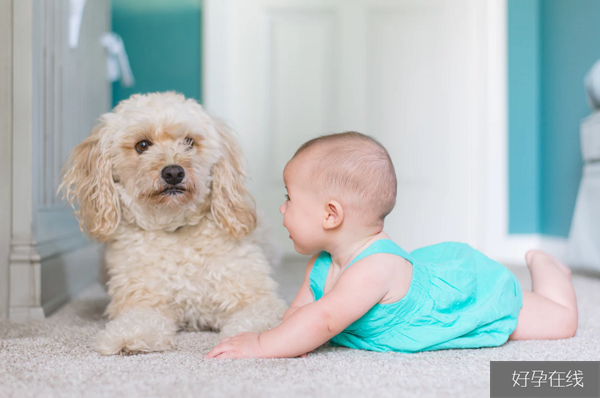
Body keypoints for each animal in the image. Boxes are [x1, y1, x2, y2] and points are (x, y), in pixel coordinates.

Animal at [59, 91, 288, 356]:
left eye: (189, 142)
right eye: (142, 145)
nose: (173, 173)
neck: (175, 227)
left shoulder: (257, 297)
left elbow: (258, 318)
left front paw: (250, 339)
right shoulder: (143, 300)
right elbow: (138, 320)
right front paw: (127, 337)